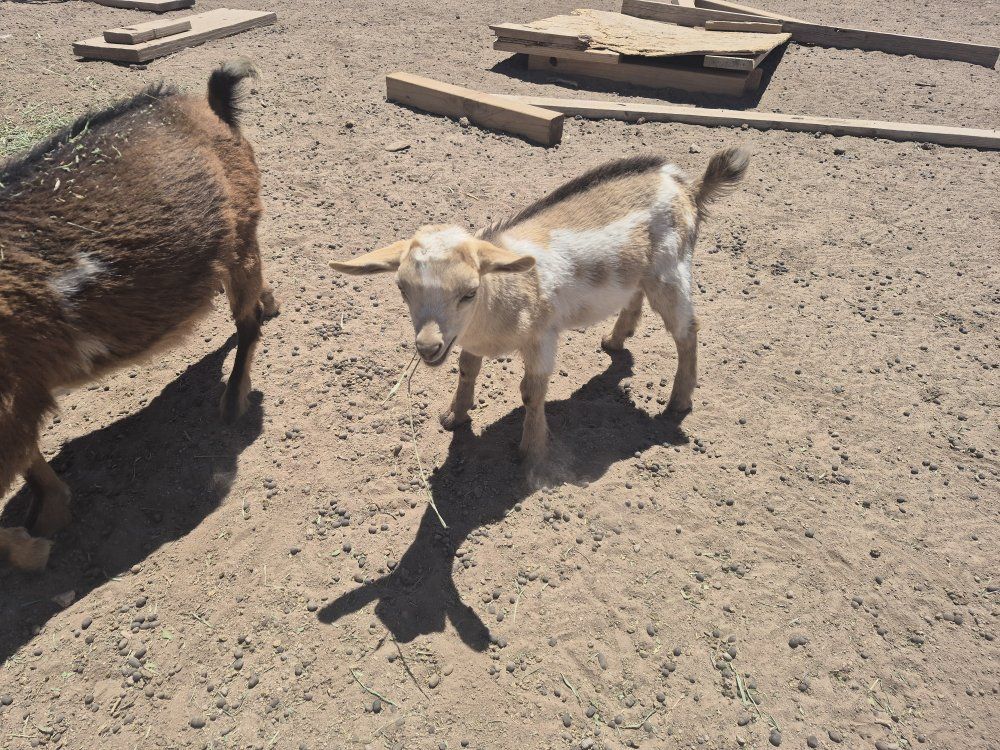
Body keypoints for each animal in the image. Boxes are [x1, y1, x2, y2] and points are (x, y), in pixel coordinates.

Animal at [0, 60, 278, 571]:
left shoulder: (10, 402)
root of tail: (211, 106)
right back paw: (269, 307)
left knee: (247, 326)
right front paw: (51, 514)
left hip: (242, 229)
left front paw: (37, 546)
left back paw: (232, 401)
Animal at [331, 147, 749, 471]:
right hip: (643, 270)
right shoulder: (469, 340)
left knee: (687, 330)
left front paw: (531, 452)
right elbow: (467, 370)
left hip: (671, 269)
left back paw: (678, 402)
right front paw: (454, 416)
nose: (428, 347)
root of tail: (687, 186)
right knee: (636, 297)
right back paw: (615, 340)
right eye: (402, 289)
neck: (498, 302)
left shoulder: (542, 337)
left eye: (469, 292)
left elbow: (532, 393)